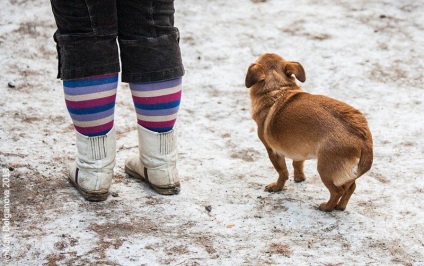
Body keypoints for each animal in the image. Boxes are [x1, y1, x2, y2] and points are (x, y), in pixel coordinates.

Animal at [243, 53, 372, 212]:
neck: (277, 90)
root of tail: (363, 138)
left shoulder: (273, 151)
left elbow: (282, 172)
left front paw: (277, 187)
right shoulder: (299, 149)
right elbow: (297, 164)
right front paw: (299, 178)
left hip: (325, 169)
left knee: (337, 191)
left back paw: (327, 207)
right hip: (345, 173)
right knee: (351, 187)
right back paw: (341, 206)